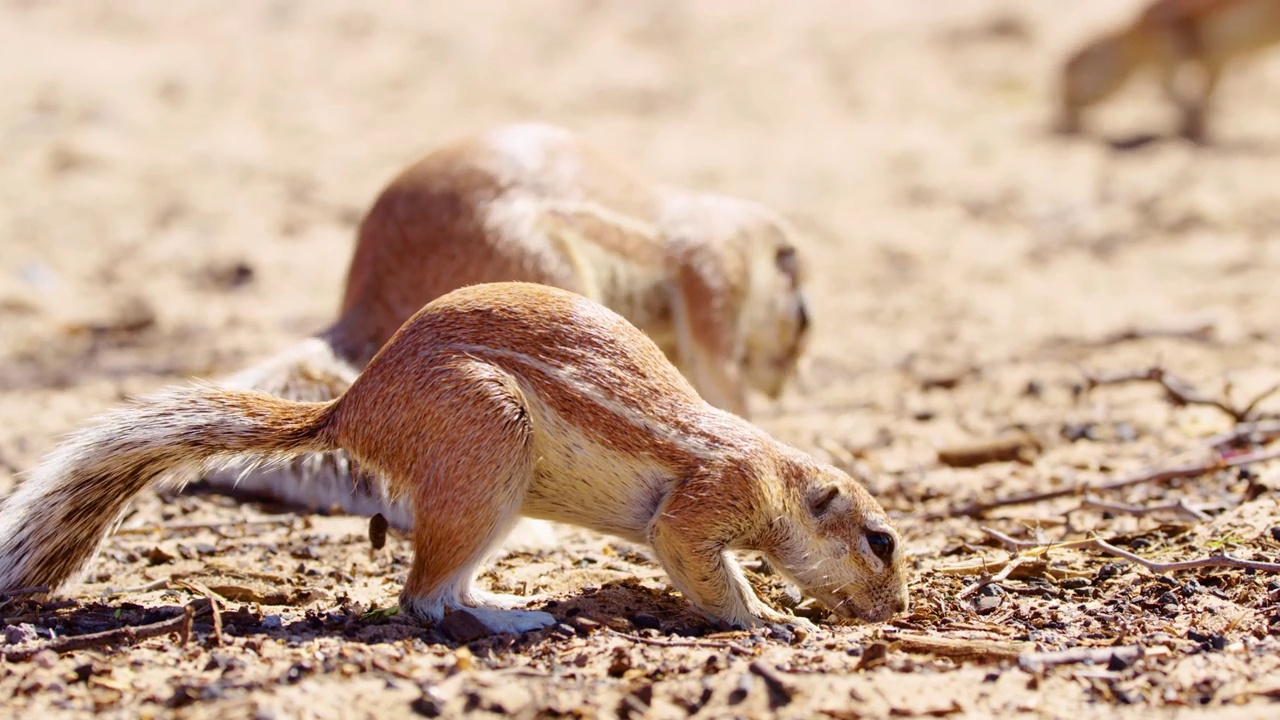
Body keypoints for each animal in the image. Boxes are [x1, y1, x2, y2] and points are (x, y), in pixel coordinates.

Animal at [0, 280, 911, 627]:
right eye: (882, 540)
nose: (899, 611)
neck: (781, 473)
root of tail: (353, 408)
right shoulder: (714, 494)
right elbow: (691, 555)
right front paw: (766, 617)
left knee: (445, 586)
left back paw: (506, 597)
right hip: (486, 445)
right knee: (424, 598)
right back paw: (515, 618)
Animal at [197, 121, 808, 527]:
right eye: (802, 322)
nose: (782, 387)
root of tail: (368, 300)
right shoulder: (713, 276)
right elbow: (717, 371)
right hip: (546, 271)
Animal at [1049, 0, 1280, 141]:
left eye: (1069, 73)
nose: (1064, 101)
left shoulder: (1168, 41)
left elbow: (1172, 91)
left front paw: (1193, 126)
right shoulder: (1213, 60)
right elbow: (1204, 90)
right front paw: (1197, 125)